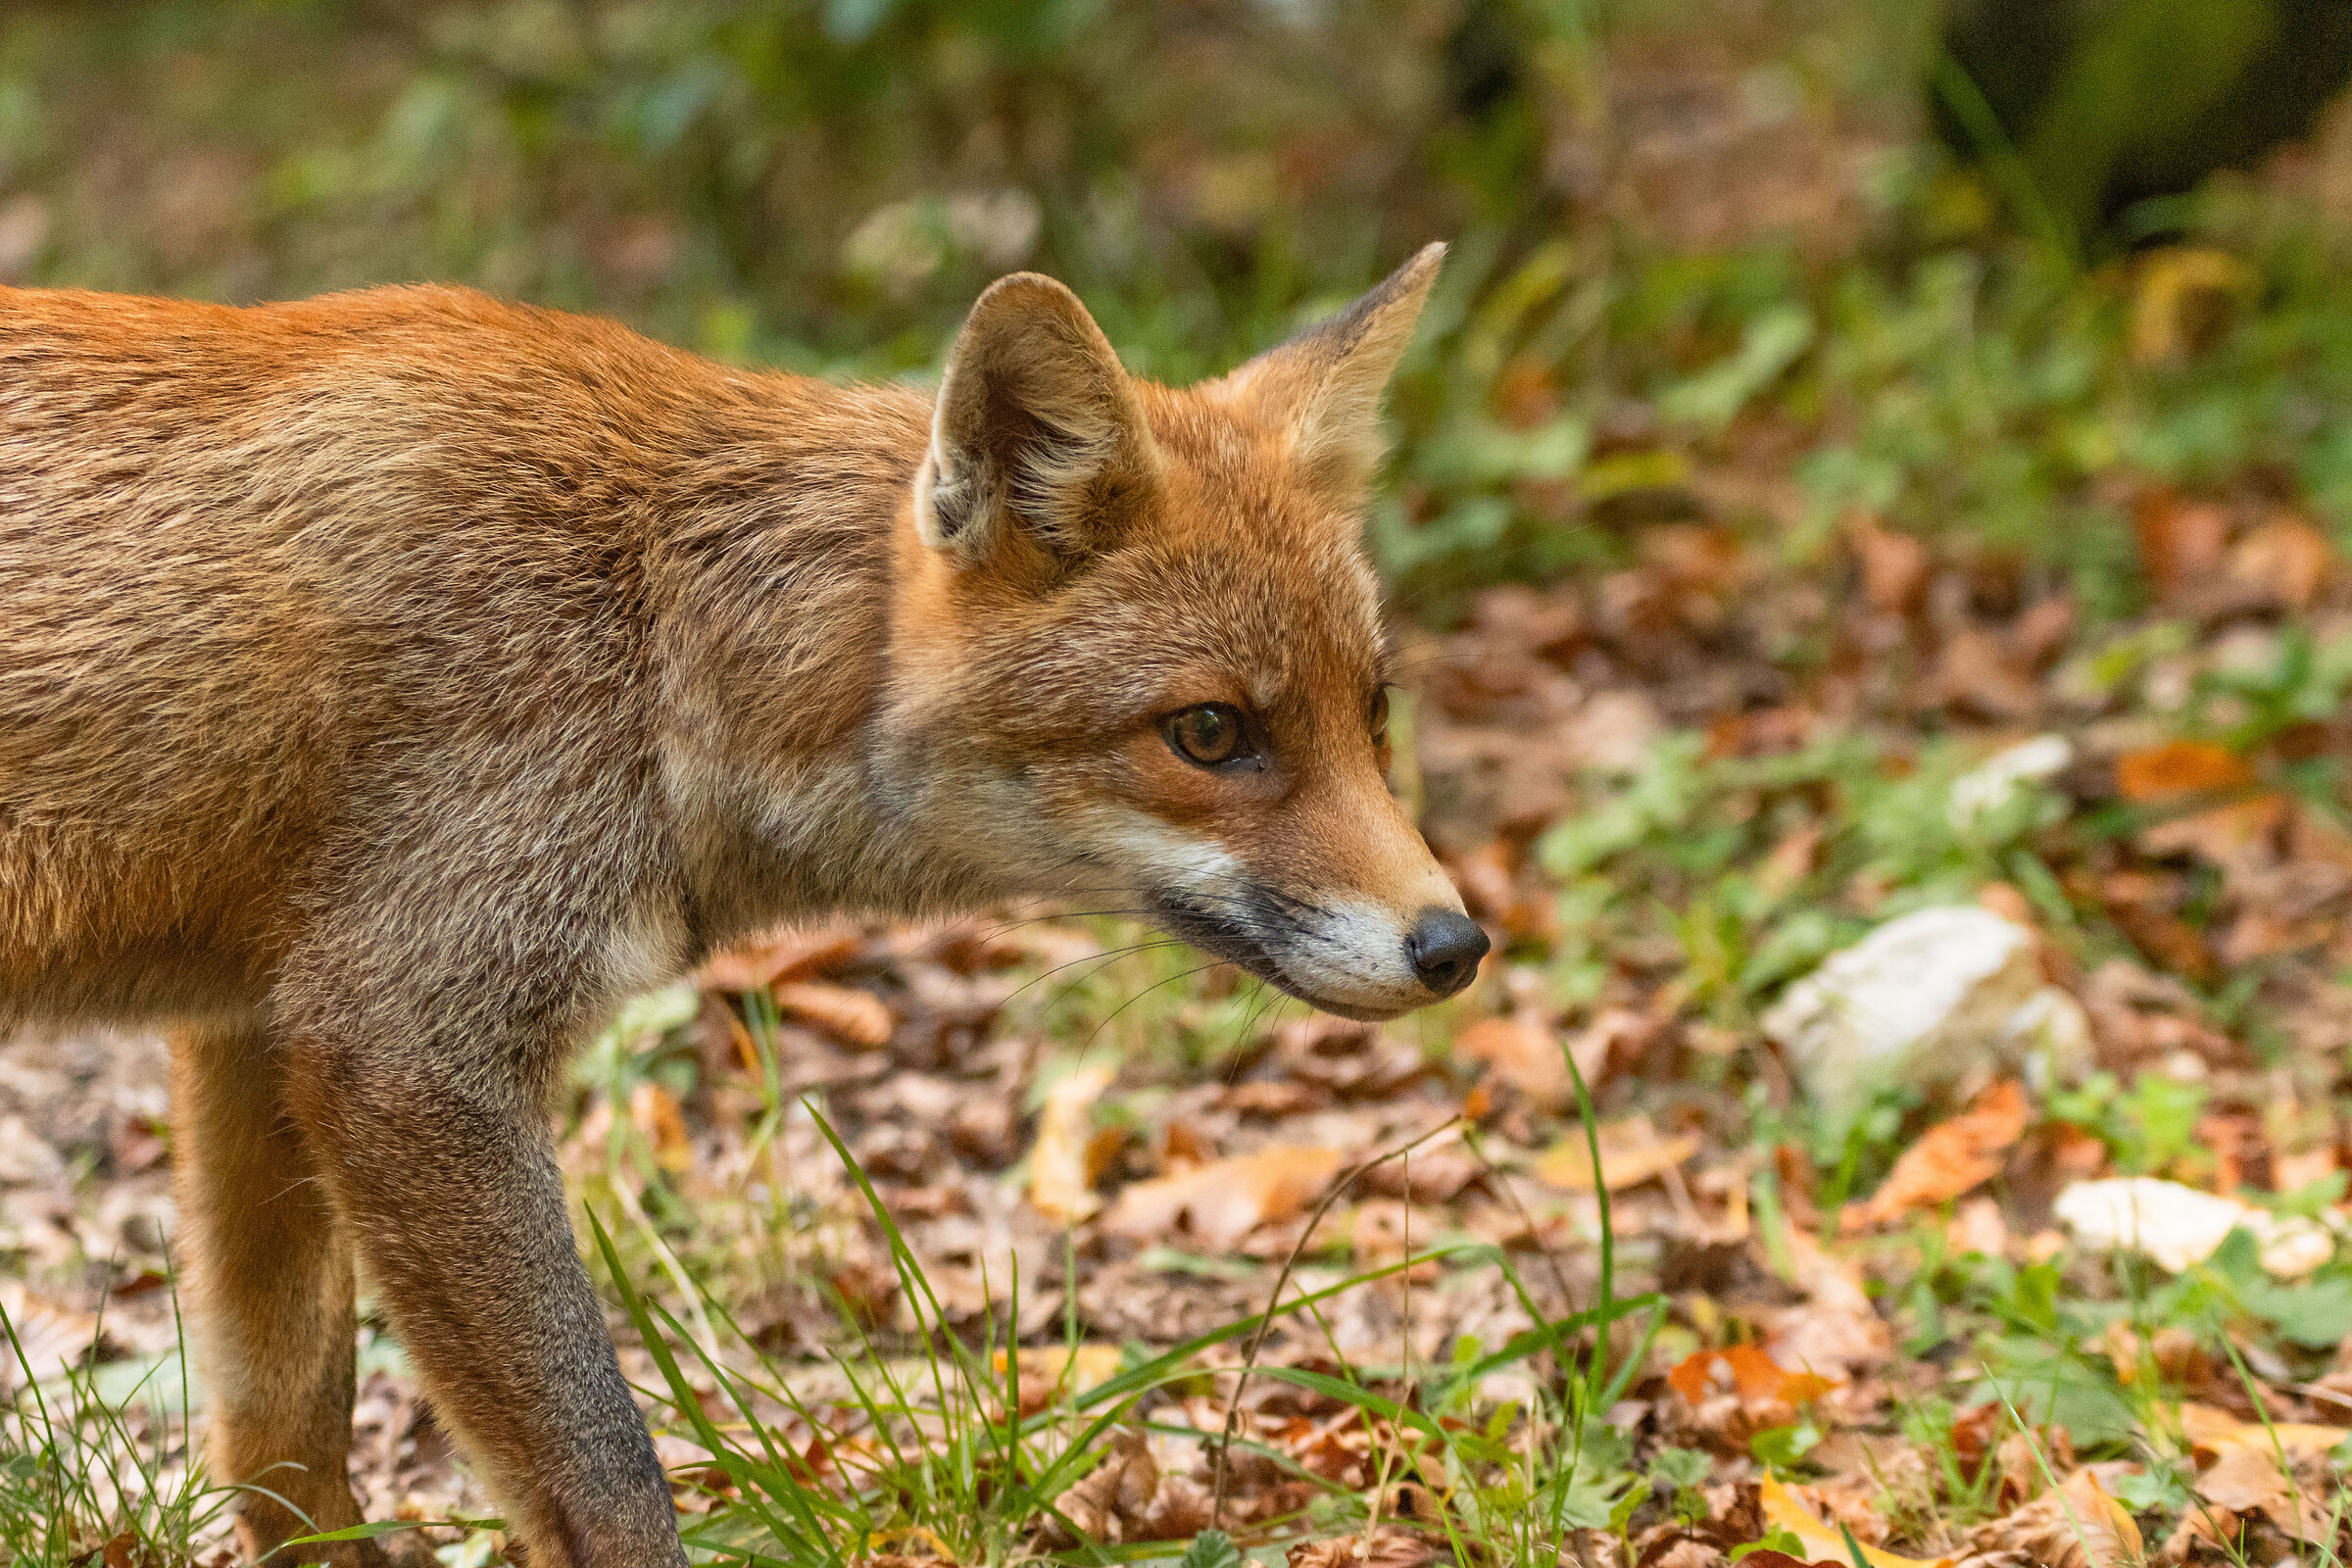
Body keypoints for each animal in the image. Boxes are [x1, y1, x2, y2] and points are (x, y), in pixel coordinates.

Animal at [0, 243, 1487, 1567]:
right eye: (1210, 733)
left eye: (1373, 713)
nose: (1457, 945)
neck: (651, 638)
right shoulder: (403, 1048)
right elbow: (609, 1479)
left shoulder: (253, 1026)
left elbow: (281, 1440)